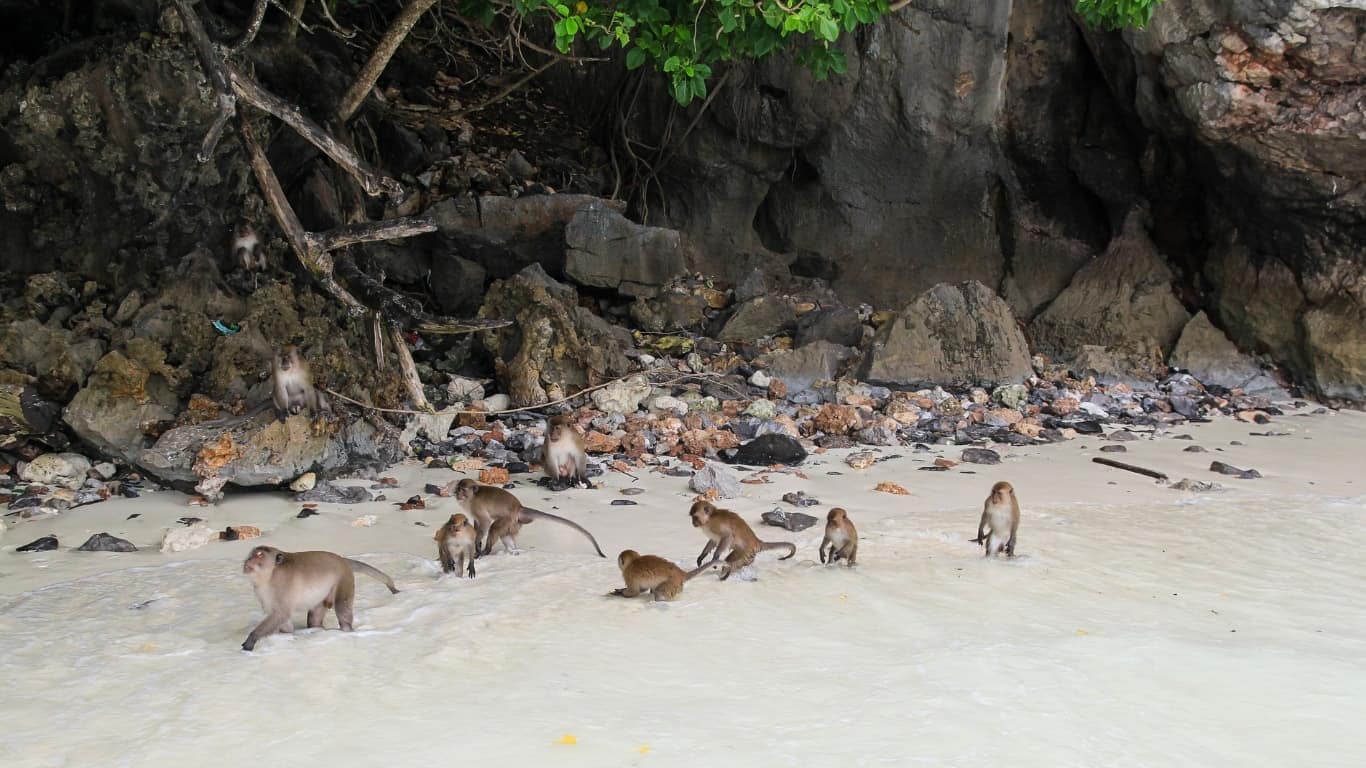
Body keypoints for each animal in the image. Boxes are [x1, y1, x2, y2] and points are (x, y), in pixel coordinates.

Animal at [240, 541, 398, 647]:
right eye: (252, 554)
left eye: (260, 555)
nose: (248, 560)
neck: (269, 575)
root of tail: (342, 559)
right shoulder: (262, 591)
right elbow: (283, 619)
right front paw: (287, 635)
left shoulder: (281, 586)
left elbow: (281, 613)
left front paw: (252, 638)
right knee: (314, 618)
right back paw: (316, 628)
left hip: (343, 579)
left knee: (342, 608)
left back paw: (346, 629)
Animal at [456, 478, 606, 554]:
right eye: (458, 489)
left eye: (463, 490)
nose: (457, 495)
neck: (472, 497)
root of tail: (519, 507)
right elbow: (477, 522)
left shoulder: (476, 505)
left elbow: (486, 521)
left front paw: (477, 543)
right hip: (514, 523)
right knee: (505, 534)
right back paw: (512, 550)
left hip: (508, 519)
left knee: (494, 527)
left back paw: (486, 551)